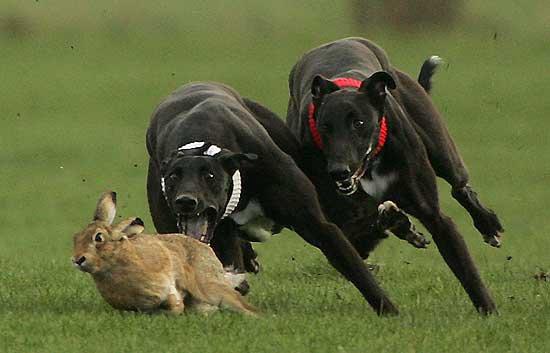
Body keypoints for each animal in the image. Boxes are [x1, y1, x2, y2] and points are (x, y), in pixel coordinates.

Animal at [286, 37, 506, 314]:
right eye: (325, 126)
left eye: (358, 123)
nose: (338, 171)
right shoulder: (344, 222)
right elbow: (363, 226)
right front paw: (397, 221)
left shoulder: (435, 216)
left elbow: (465, 267)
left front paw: (489, 312)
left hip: (440, 148)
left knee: (460, 186)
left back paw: (488, 225)